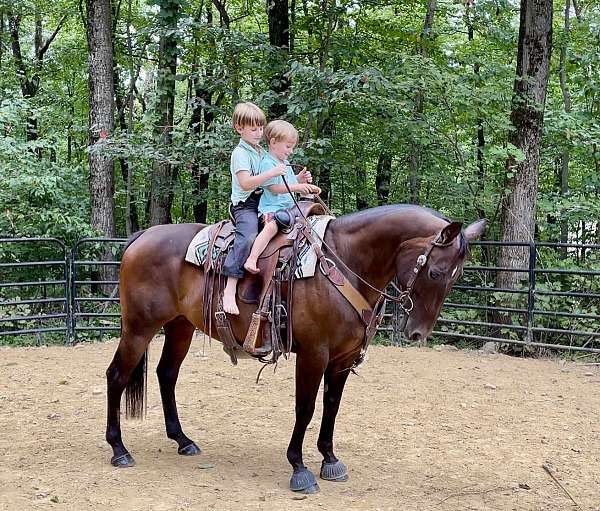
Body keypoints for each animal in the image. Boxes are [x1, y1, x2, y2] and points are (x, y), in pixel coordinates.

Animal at [105, 206, 486, 494]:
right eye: (435, 272)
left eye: (456, 276)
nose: (419, 332)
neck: (343, 264)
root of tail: (142, 236)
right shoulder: (314, 354)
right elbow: (305, 408)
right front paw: (299, 468)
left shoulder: (342, 359)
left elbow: (331, 408)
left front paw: (329, 460)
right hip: (139, 328)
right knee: (117, 376)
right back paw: (119, 449)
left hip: (180, 326)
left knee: (166, 374)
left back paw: (182, 440)